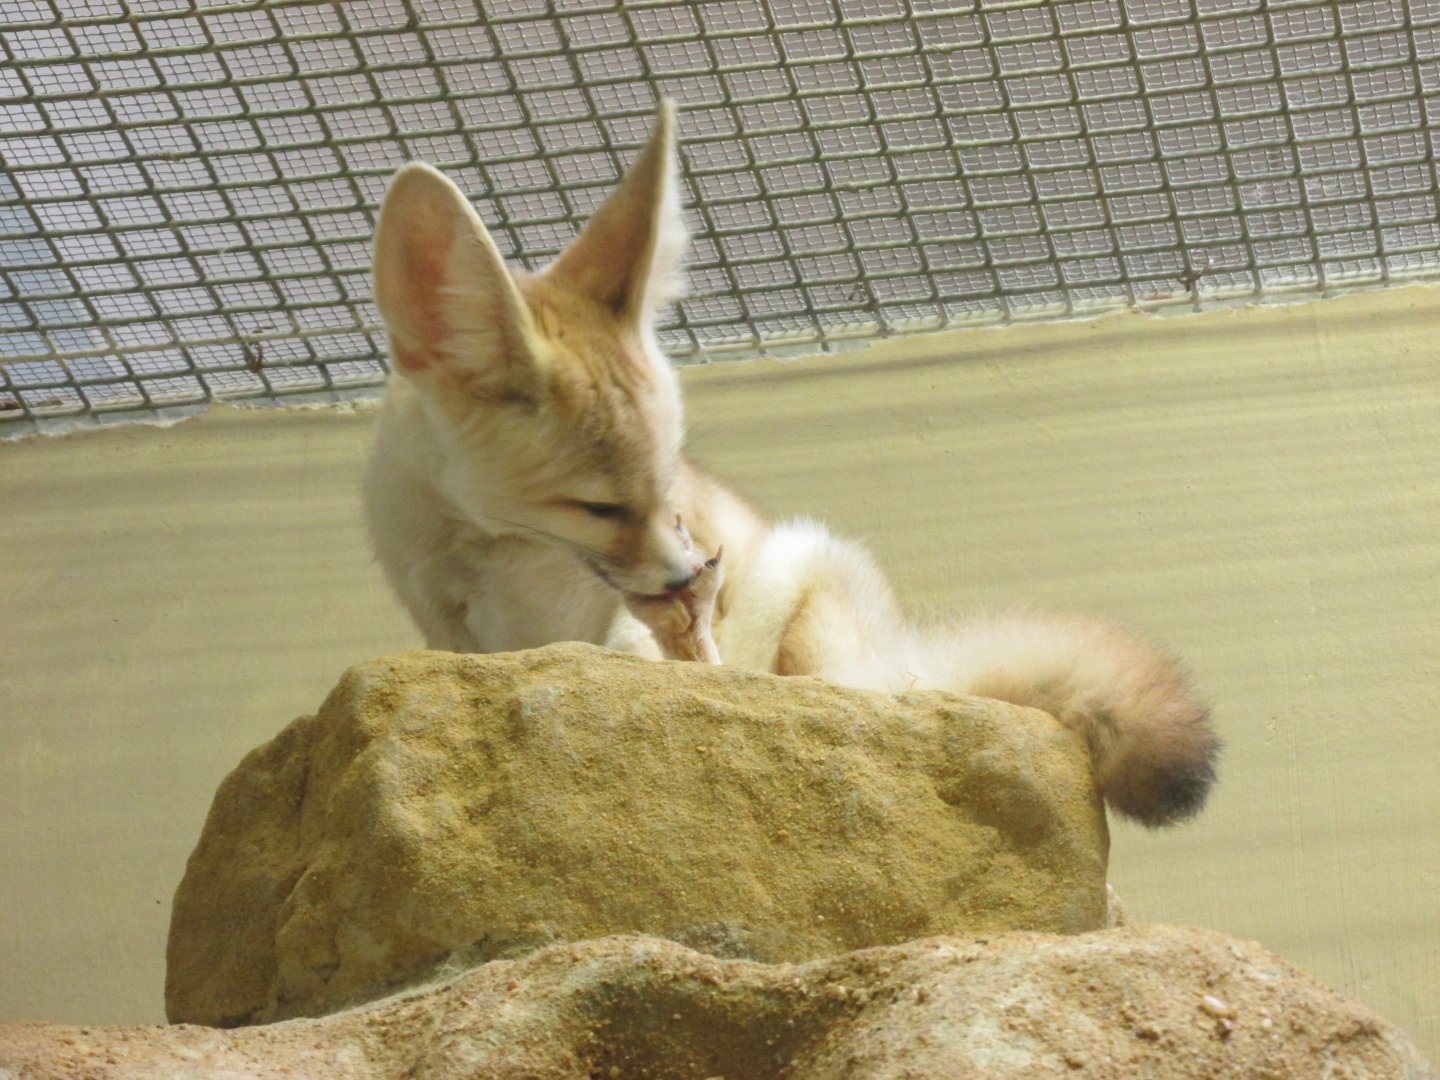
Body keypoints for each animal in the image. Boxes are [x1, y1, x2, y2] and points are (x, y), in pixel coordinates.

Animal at [364, 102, 1219, 828]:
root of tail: (904, 655)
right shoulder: (455, 629)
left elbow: (638, 643)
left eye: (670, 484)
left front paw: (664, 655)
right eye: (597, 507)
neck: (494, 555)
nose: (691, 572)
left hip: (808, 581)